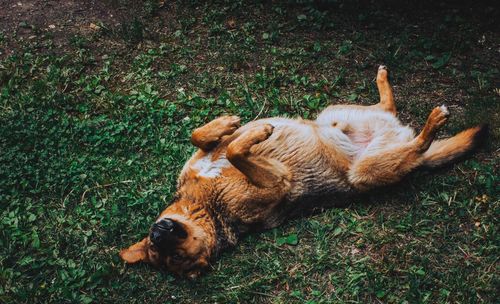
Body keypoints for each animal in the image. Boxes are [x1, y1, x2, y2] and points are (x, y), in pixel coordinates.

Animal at [119, 66, 486, 278]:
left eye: (160, 246)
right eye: (173, 257)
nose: (159, 232)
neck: (207, 207)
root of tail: (396, 134)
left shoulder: (205, 157)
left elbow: (205, 137)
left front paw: (229, 124)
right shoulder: (277, 181)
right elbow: (237, 151)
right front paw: (251, 133)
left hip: (333, 113)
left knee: (388, 106)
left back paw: (385, 82)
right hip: (367, 172)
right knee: (417, 146)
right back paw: (432, 124)